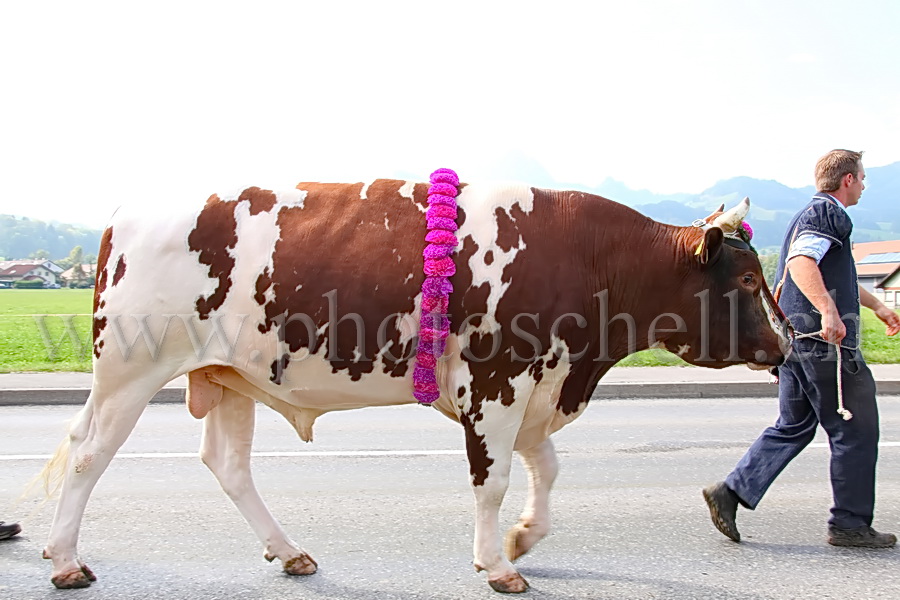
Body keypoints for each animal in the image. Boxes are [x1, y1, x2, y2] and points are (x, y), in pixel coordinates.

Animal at [40, 177, 788, 592]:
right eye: (750, 278)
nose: (786, 347)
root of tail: (128, 214)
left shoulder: (536, 388)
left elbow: (545, 468)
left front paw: (522, 539)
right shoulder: (497, 382)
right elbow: (493, 480)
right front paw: (498, 565)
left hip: (226, 377)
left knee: (226, 464)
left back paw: (290, 552)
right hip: (129, 370)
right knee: (87, 452)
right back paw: (64, 560)